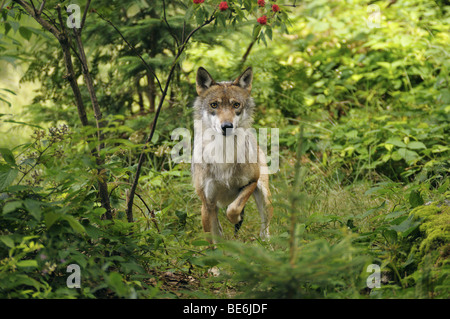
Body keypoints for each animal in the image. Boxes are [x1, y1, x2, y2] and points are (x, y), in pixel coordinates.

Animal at [192, 66, 272, 244]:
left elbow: (233, 209)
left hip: (264, 194)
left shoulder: (251, 182)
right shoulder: (207, 203)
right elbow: (213, 241)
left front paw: (236, 219)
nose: (227, 126)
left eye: (236, 105)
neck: (224, 154)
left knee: (265, 226)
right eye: (214, 105)